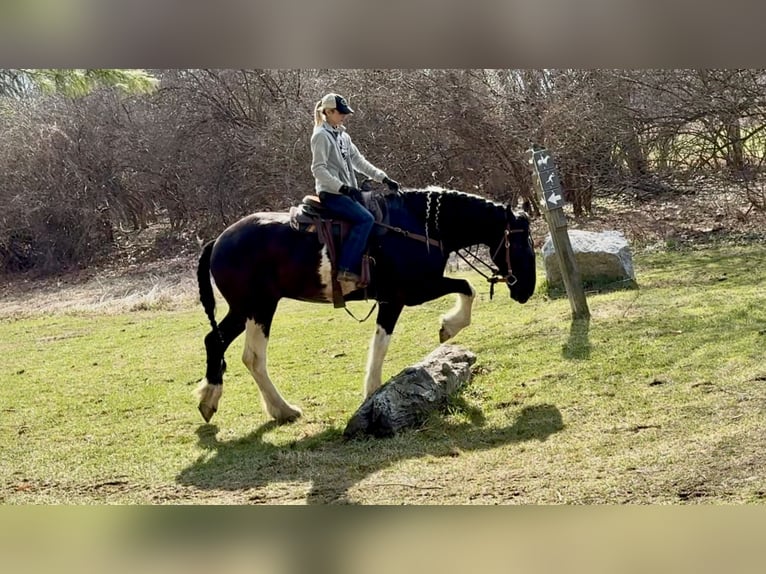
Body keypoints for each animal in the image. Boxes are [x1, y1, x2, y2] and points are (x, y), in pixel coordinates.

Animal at [195, 186, 537, 424]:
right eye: (520, 242)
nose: (527, 289)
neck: (420, 227)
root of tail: (219, 240)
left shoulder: (394, 297)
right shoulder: (409, 293)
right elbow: (465, 288)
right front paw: (447, 328)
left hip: (243, 310)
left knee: (214, 341)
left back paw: (210, 400)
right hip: (259, 307)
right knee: (253, 357)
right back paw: (283, 409)